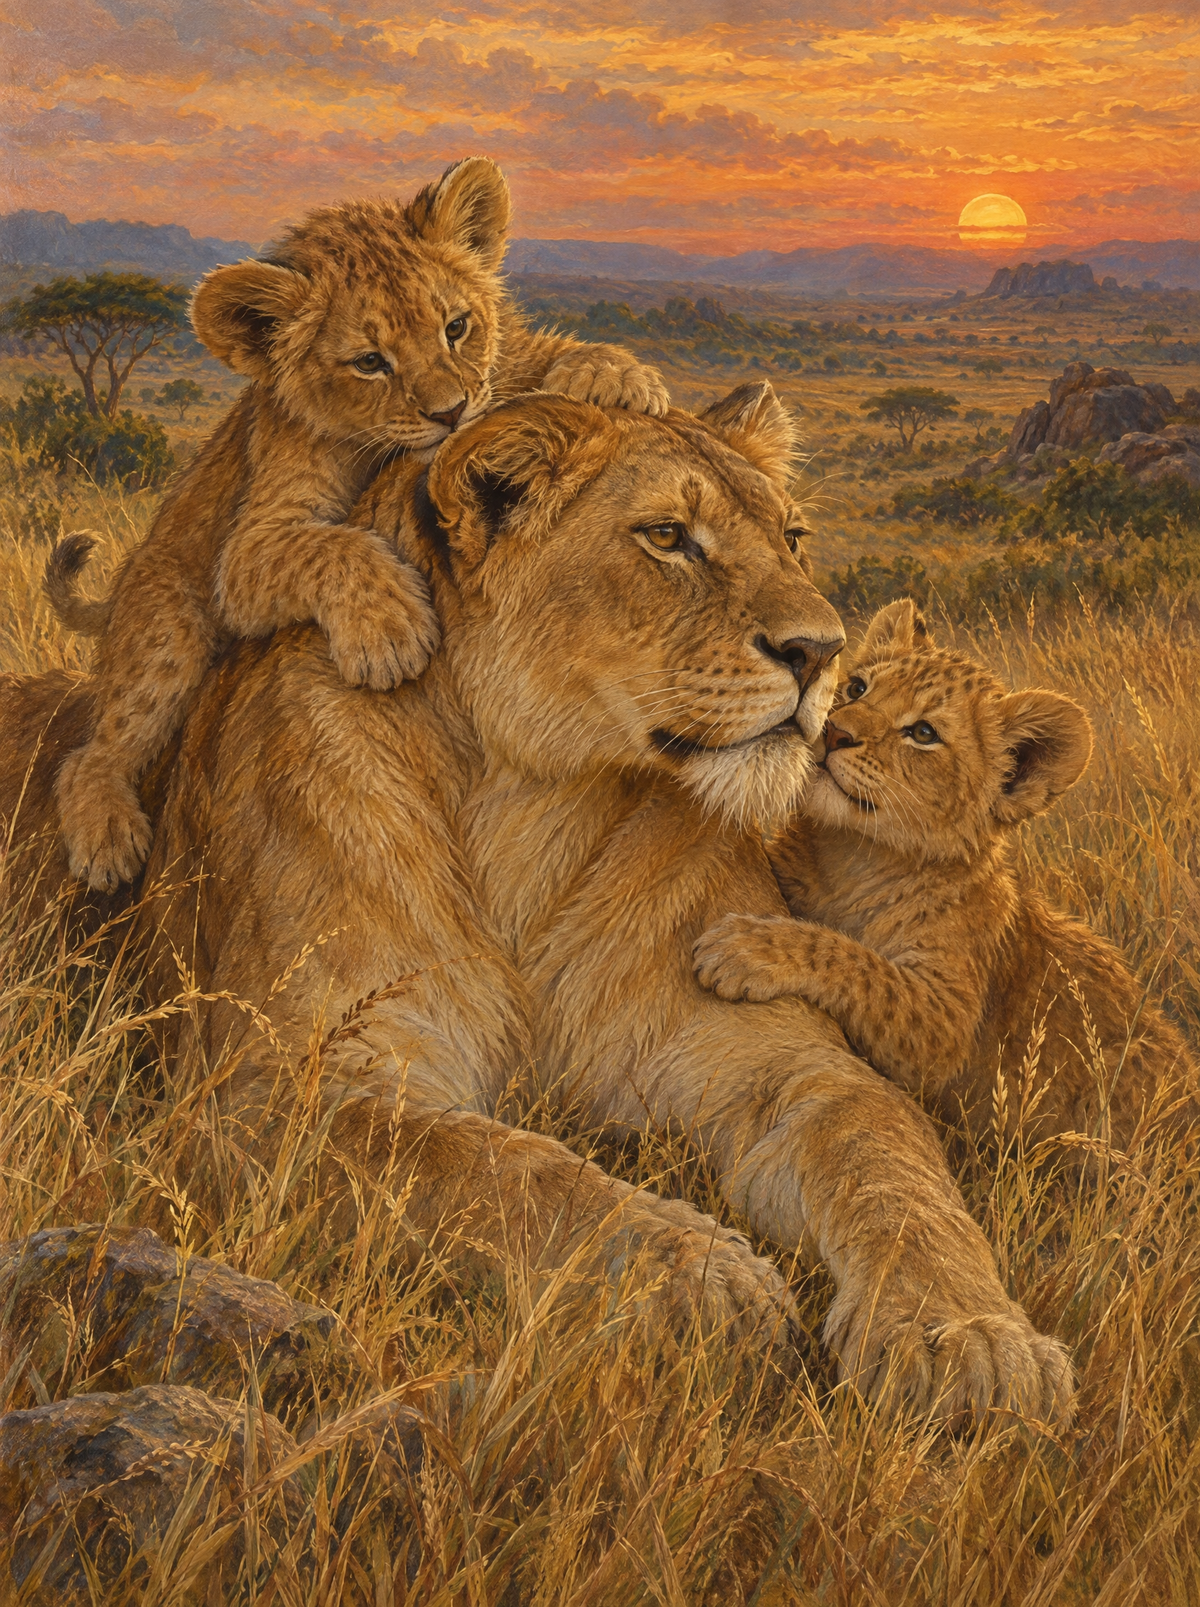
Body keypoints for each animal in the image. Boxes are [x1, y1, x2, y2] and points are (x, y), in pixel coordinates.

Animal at [1, 387, 1073, 1426]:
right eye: (667, 536)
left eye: (795, 538)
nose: (823, 654)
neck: (533, 805)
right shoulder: (264, 1098)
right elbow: (497, 1169)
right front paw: (702, 1276)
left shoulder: (780, 1061)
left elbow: (890, 1165)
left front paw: (971, 1341)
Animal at [45, 155, 669, 895]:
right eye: (371, 362)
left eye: (456, 327)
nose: (450, 413)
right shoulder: (248, 550)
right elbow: (331, 546)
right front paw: (390, 635)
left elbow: (526, 356)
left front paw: (612, 374)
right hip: (167, 629)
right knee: (97, 747)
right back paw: (106, 838)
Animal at [694, 598, 1198, 1152]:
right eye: (857, 688)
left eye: (923, 734)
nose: (834, 732)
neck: (853, 860)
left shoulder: (945, 1025)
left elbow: (857, 963)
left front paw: (746, 949)